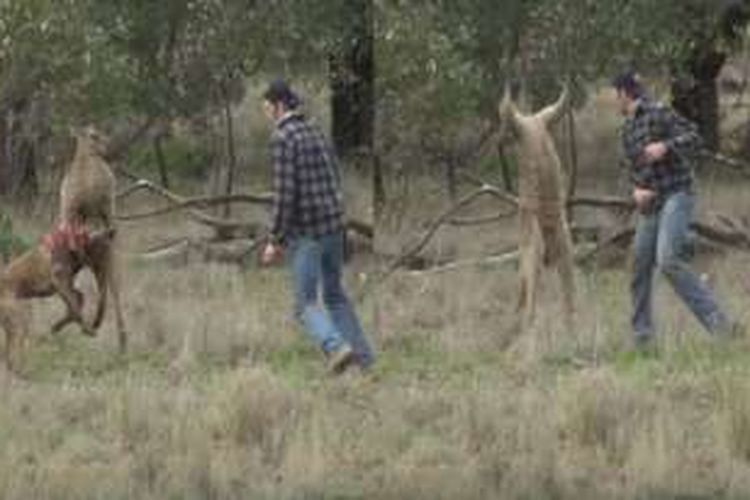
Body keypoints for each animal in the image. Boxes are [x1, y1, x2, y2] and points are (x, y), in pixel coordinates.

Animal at [0, 223, 114, 372]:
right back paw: (19, 369)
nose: (94, 328)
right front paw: (88, 331)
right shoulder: (59, 279)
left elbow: (79, 297)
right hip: (15, 310)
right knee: (17, 334)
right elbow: (74, 300)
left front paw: (55, 328)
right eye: (98, 255)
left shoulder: (66, 281)